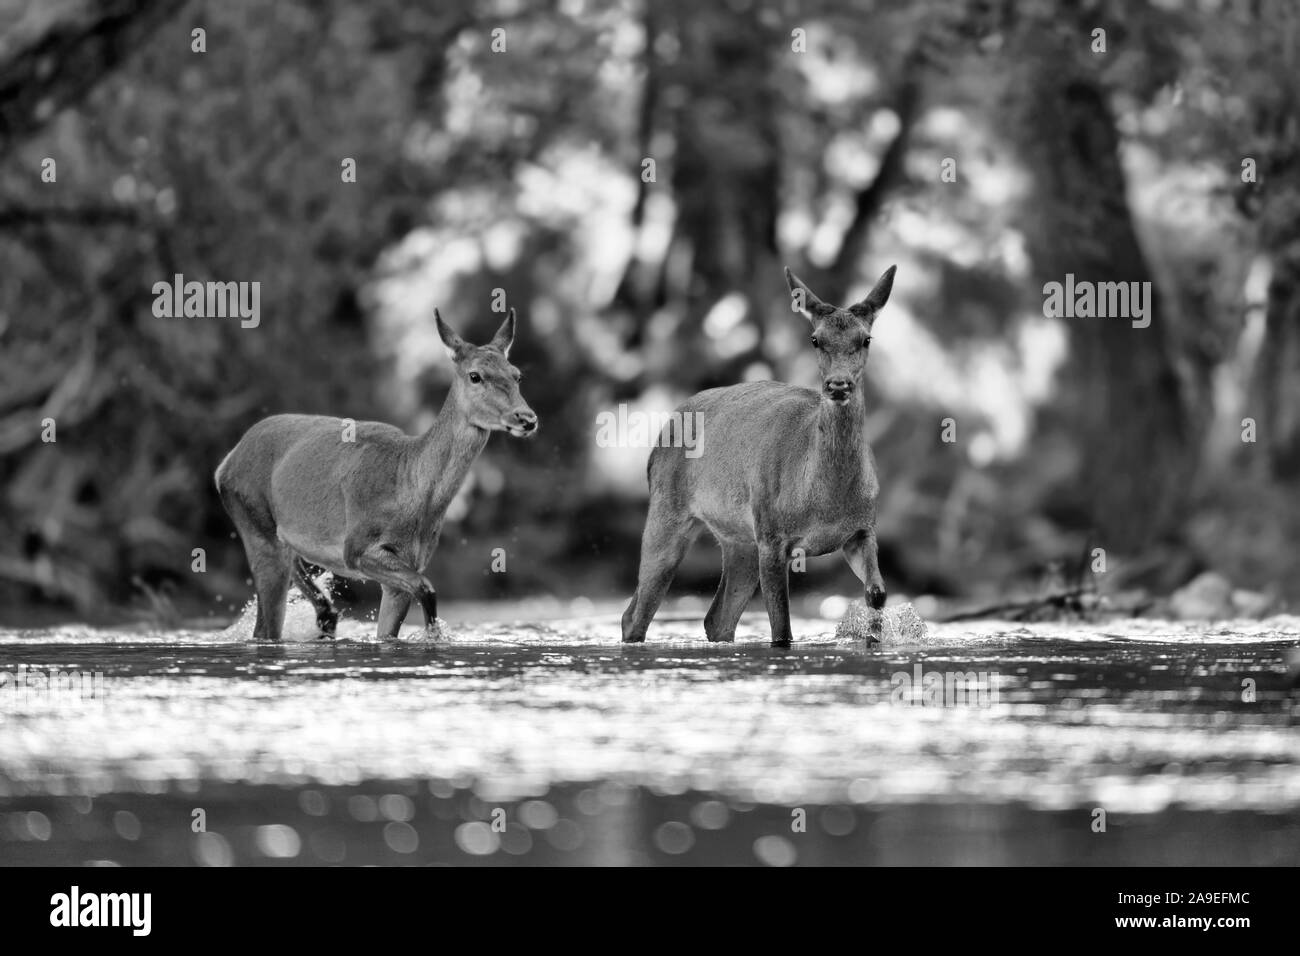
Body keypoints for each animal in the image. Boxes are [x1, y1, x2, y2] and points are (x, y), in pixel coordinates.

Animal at [215, 308, 537, 642]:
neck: (409, 487)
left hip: (283, 540)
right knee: (265, 627)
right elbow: (427, 587)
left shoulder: (410, 565)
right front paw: (434, 636)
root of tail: (224, 464)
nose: (526, 418)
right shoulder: (356, 547)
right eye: (475, 375)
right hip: (256, 524)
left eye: (517, 374)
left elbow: (395, 624)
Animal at [622, 264, 896, 647]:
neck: (823, 502)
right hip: (668, 508)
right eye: (815, 339)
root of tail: (659, 438)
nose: (838, 385)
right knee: (637, 612)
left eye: (866, 339)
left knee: (716, 617)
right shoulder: (771, 535)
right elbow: (781, 631)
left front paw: (872, 634)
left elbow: (877, 594)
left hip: (739, 539)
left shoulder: (862, 528)